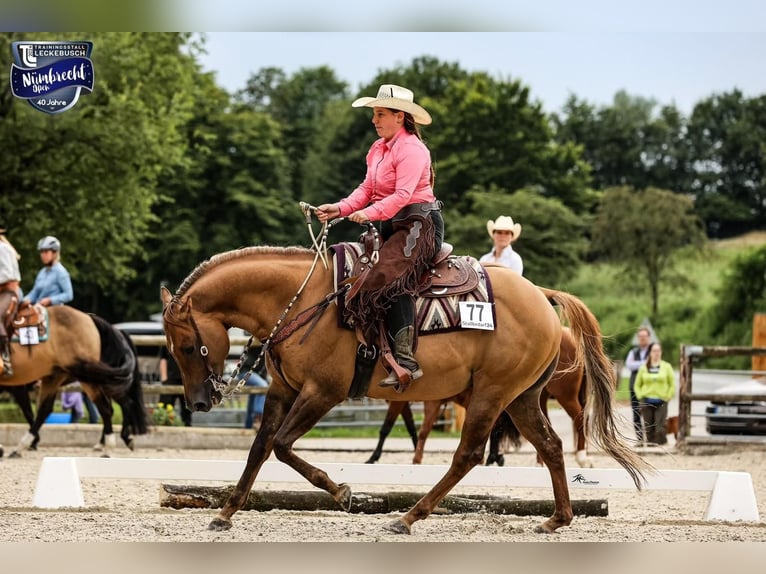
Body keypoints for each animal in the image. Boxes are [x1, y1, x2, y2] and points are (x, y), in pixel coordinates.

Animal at [1, 306, 147, 460]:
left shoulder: (18, 387)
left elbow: (28, 412)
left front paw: (32, 443)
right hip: (71, 378)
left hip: (94, 378)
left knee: (114, 406)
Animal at [164, 245, 656, 536]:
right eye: (171, 347)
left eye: (188, 345)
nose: (200, 402)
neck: (302, 301)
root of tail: (541, 295)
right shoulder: (283, 392)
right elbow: (260, 449)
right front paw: (225, 513)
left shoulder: (323, 393)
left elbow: (283, 447)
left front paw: (342, 492)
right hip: (521, 398)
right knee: (551, 446)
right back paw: (557, 518)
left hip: (492, 394)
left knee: (468, 455)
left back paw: (408, 517)